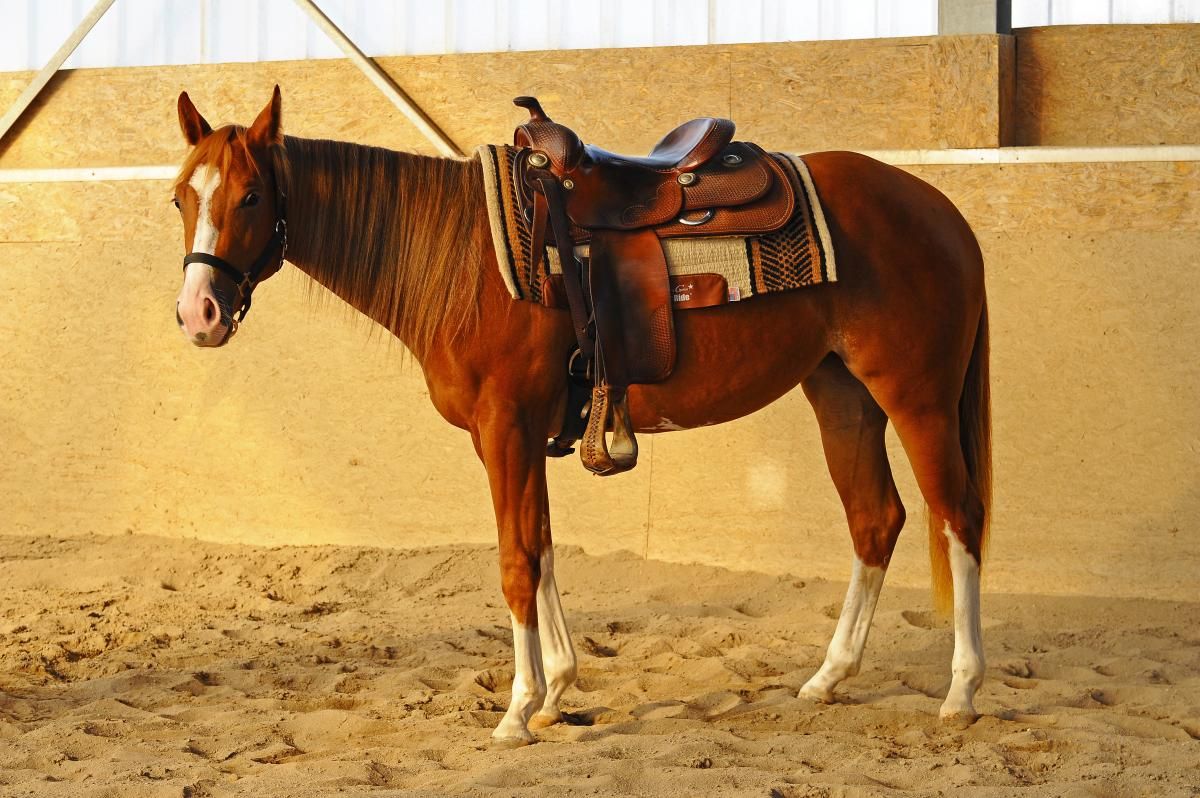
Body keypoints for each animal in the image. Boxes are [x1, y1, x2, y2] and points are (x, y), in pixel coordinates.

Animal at [171, 86, 991, 747]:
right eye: (182, 196)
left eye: (251, 197)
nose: (198, 313)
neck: (466, 259)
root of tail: (941, 209)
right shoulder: (516, 437)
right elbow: (539, 548)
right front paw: (555, 692)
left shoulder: (505, 427)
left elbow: (515, 562)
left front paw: (516, 711)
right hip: (842, 396)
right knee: (875, 520)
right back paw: (829, 677)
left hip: (917, 396)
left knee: (957, 518)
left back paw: (961, 691)